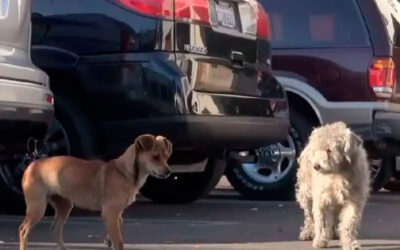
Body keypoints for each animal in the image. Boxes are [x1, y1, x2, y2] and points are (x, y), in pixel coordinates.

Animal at [19, 135, 172, 250]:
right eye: (155, 157)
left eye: (166, 157)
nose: (169, 172)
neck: (124, 172)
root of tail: (32, 165)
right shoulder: (110, 213)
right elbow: (119, 242)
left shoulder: (116, 215)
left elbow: (118, 229)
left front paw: (108, 241)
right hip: (37, 208)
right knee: (23, 230)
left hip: (64, 206)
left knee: (56, 227)